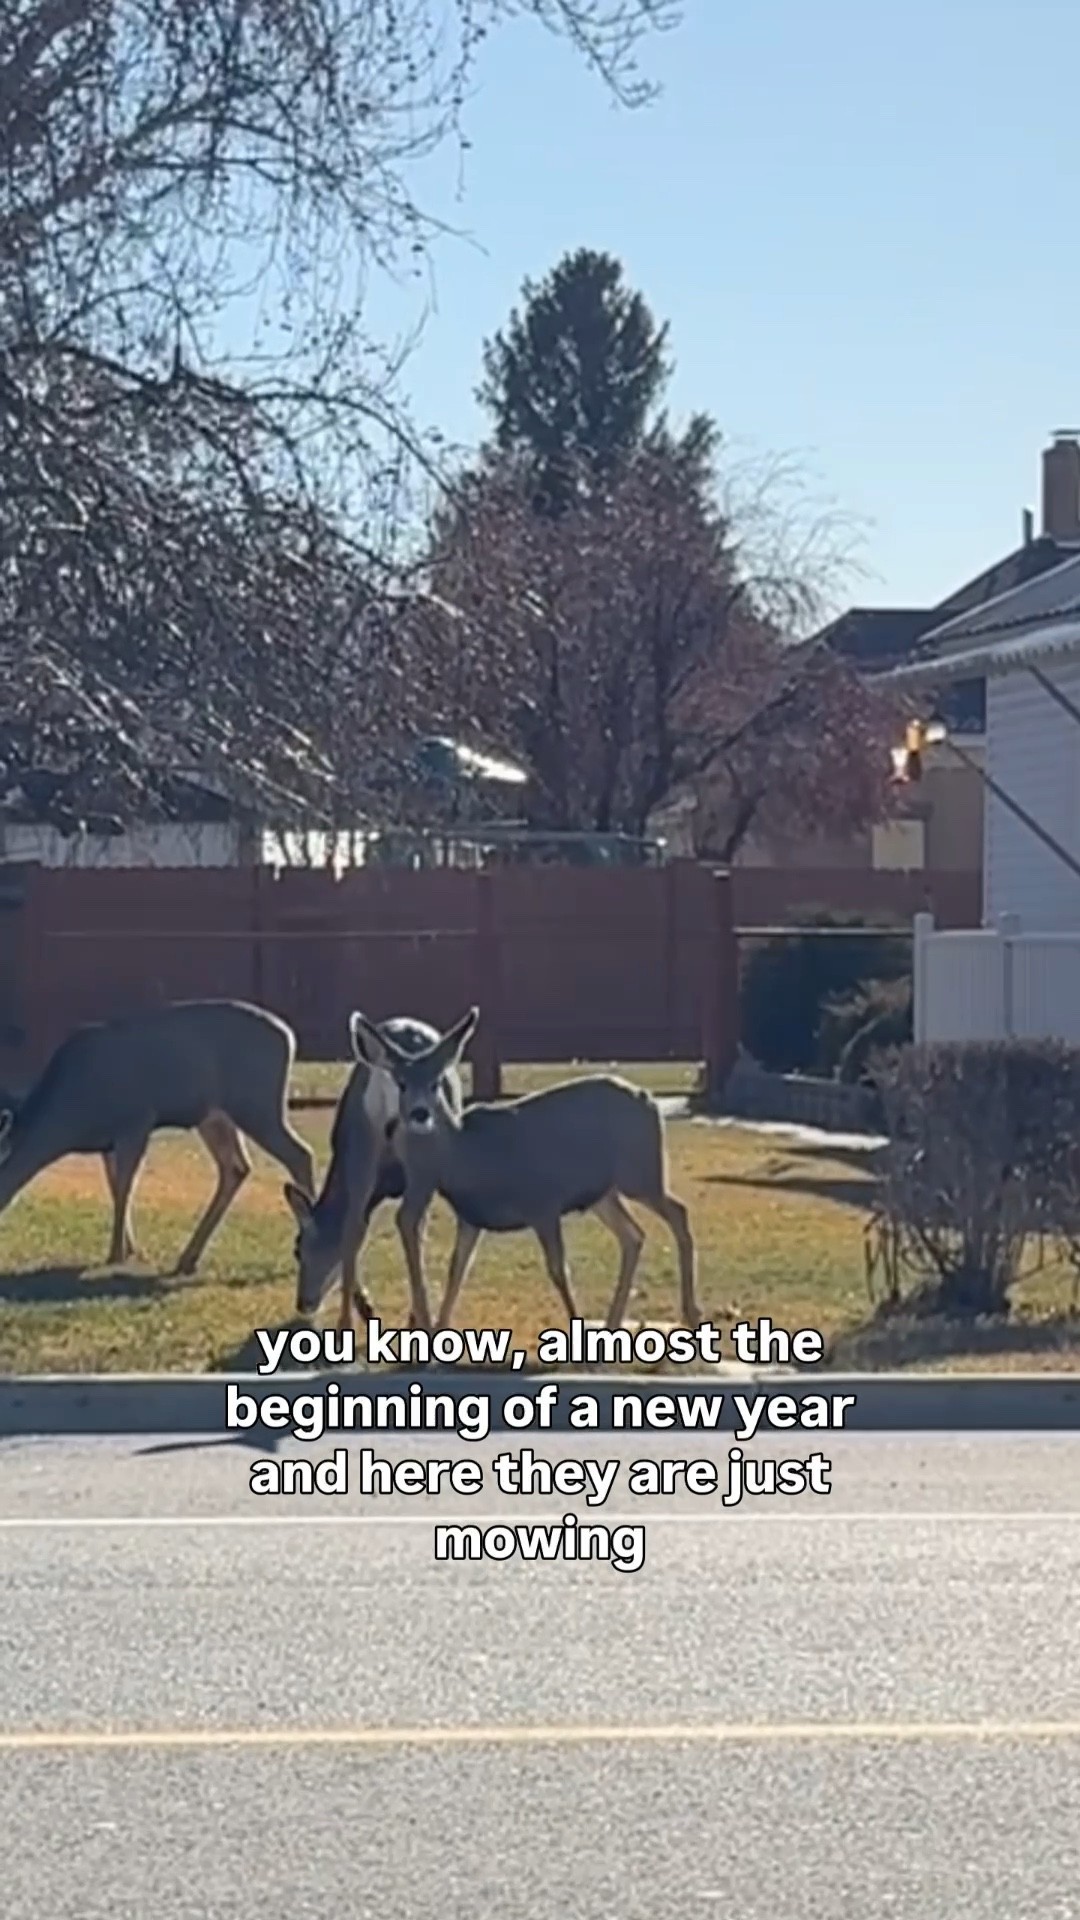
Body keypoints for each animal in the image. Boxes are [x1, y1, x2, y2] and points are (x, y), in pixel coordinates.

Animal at [0, 1000, 315, 1275]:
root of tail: (289, 1036)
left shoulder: (136, 1122)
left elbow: (125, 1186)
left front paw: (116, 1253)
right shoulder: (108, 1143)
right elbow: (115, 1186)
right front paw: (129, 1248)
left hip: (257, 1104)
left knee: (299, 1153)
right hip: (215, 1116)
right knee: (236, 1167)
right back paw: (188, 1258)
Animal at [283, 1014, 464, 1336]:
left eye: (298, 1248)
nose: (303, 1303)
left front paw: (366, 1306)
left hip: (360, 1141)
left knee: (353, 1225)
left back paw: (347, 1324)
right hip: (420, 1156)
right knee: (406, 1220)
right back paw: (419, 1320)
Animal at [349, 1005, 701, 1336]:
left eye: (436, 1083)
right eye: (401, 1083)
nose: (420, 1113)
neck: (465, 1156)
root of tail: (649, 1100)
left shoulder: (543, 1202)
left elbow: (558, 1270)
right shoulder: (471, 1217)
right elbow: (457, 1269)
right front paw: (438, 1329)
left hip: (640, 1172)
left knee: (678, 1212)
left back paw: (691, 1314)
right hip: (605, 1192)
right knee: (633, 1235)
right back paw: (614, 1323)